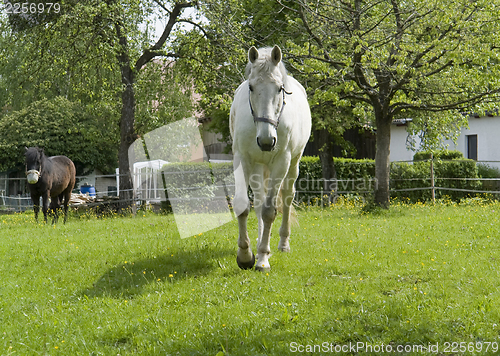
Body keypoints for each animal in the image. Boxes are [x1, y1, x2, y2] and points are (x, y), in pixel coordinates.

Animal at [229, 46, 308, 272]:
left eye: (280, 89)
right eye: (251, 87)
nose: (266, 141)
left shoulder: (281, 162)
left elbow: (269, 211)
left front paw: (263, 258)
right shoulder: (241, 158)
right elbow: (243, 205)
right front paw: (245, 255)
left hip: (293, 164)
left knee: (287, 197)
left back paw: (282, 243)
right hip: (257, 167)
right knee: (258, 201)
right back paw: (258, 243)